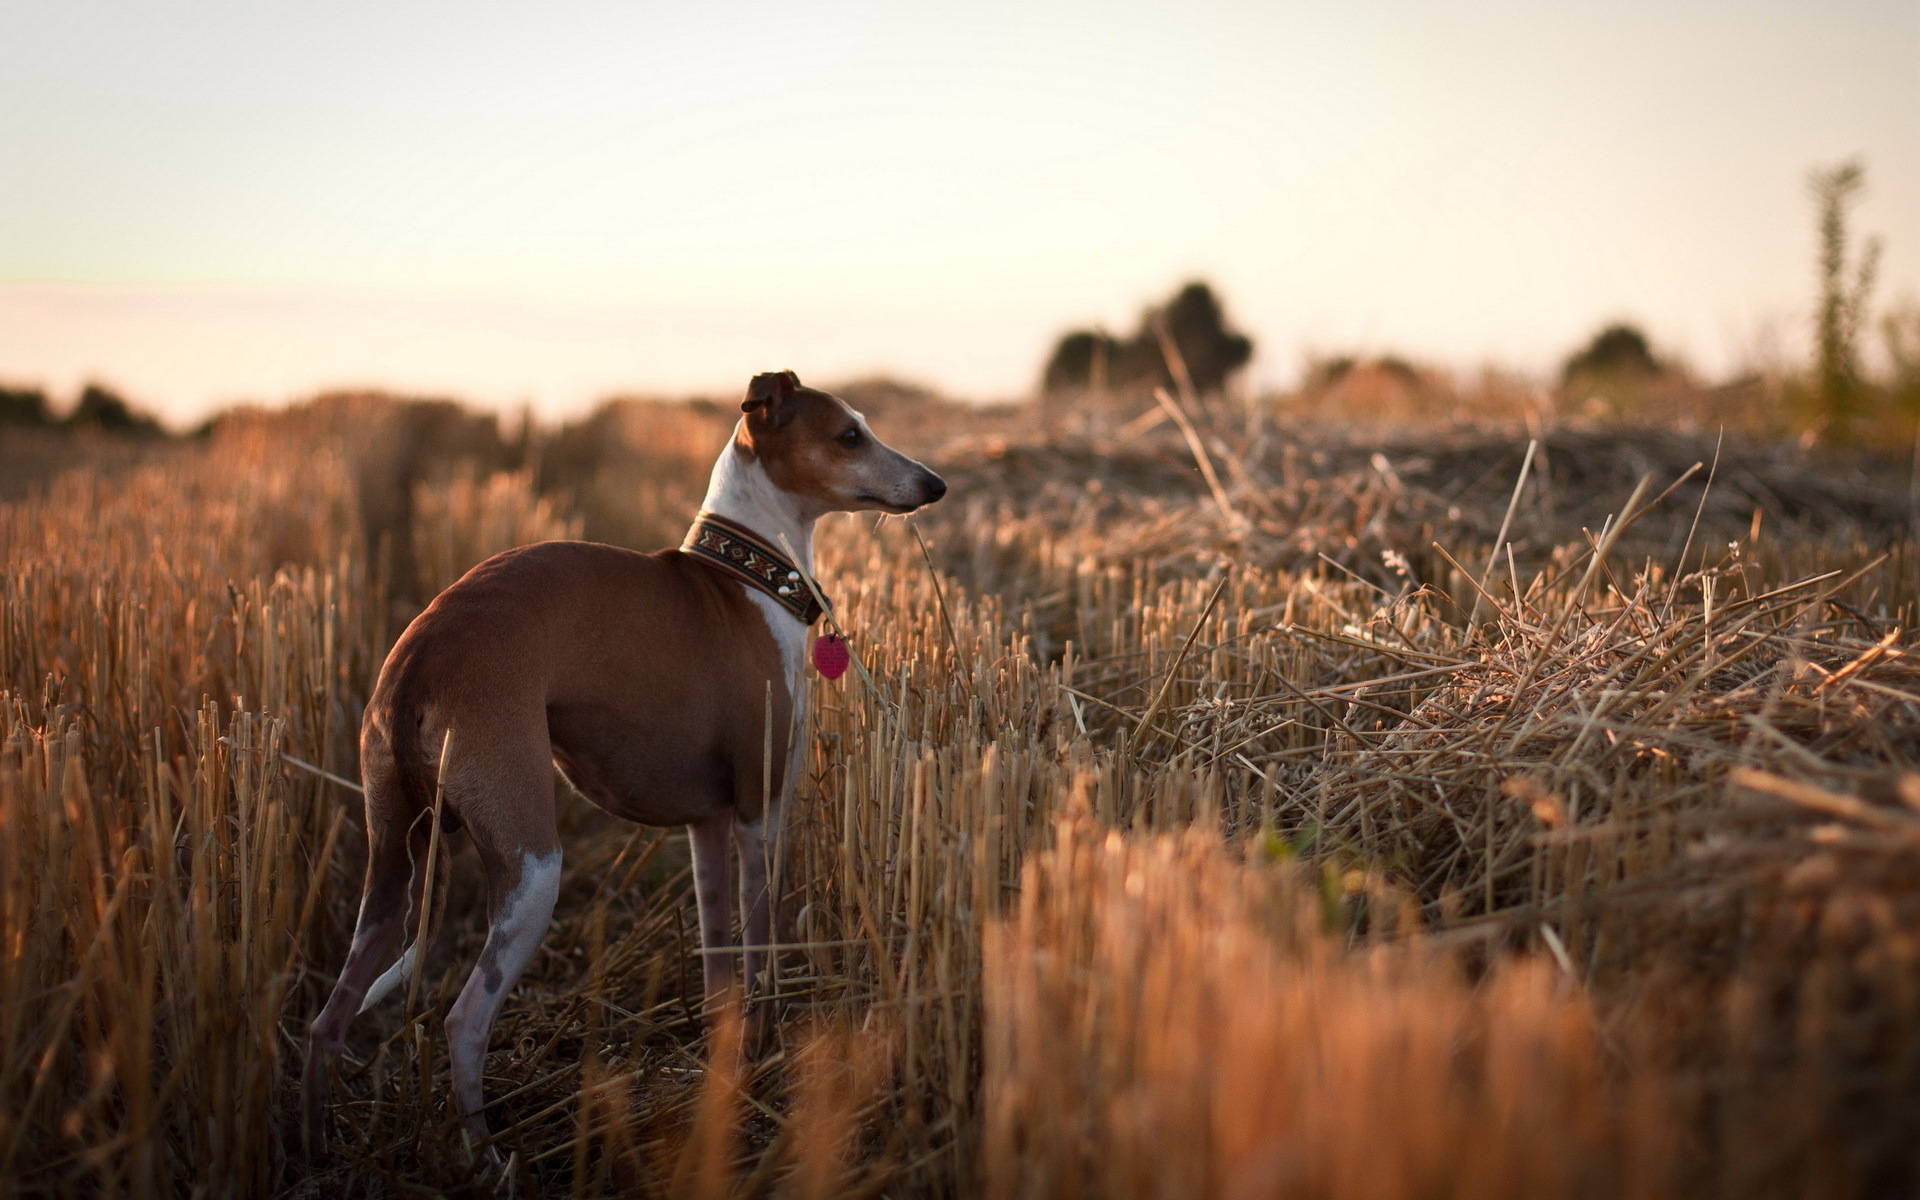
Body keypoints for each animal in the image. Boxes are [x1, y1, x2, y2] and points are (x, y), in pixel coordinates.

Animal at [297, 366, 944, 1152]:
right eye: (850, 435)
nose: (936, 483)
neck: (747, 580)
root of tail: (417, 660)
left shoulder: (707, 826)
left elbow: (718, 963)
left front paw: (725, 1064)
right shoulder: (759, 811)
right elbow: (760, 949)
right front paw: (763, 1051)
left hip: (389, 865)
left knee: (327, 1022)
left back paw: (316, 1144)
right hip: (531, 867)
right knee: (462, 1022)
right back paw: (484, 1158)